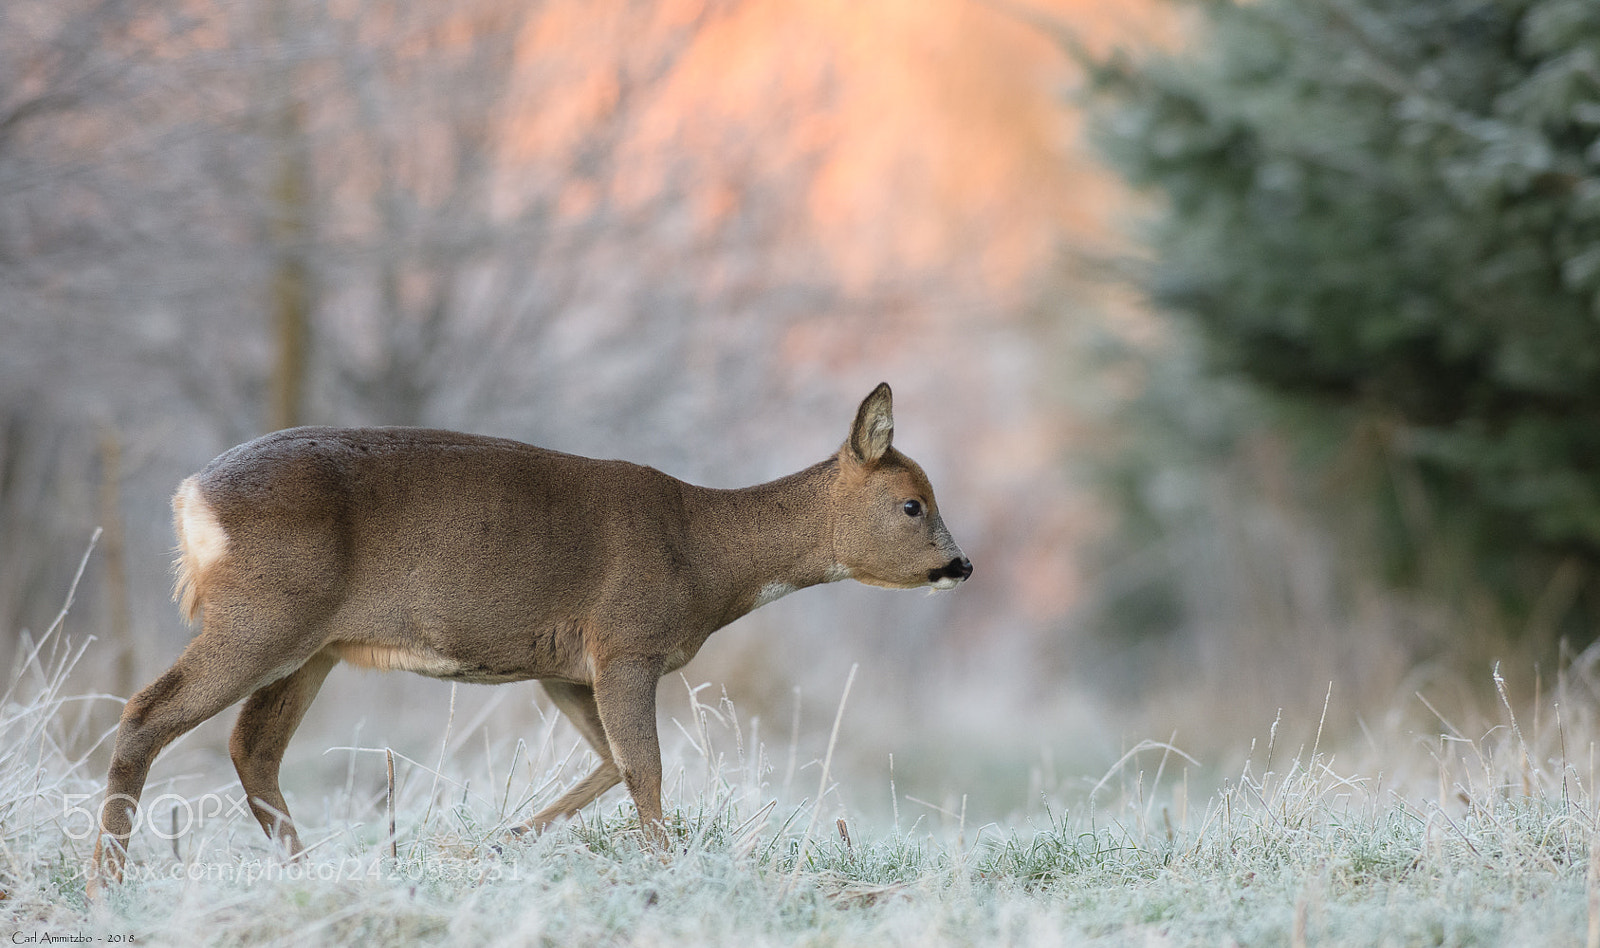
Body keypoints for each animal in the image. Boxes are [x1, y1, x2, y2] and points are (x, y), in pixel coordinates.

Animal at [87, 382, 971, 893]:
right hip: (264, 614)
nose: (961, 564)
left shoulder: (563, 665)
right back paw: (108, 884)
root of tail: (190, 497)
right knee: (146, 714)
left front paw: (501, 842)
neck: (702, 555)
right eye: (912, 504)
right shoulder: (628, 642)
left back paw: (305, 876)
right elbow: (646, 767)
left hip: (312, 644)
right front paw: (666, 872)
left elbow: (611, 763)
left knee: (252, 747)